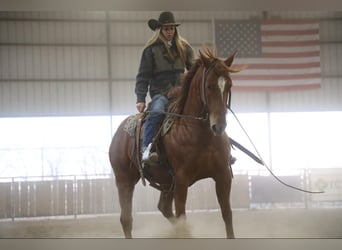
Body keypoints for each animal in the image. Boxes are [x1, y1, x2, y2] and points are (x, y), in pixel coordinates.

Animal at [109, 48, 240, 238]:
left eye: (229, 85)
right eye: (209, 86)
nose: (219, 126)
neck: (200, 135)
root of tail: (119, 133)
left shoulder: (222, 175)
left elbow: (227, 214)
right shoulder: (181, 180)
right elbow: (181, 216)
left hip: (166, 183)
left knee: (164, 208)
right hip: (124, 179)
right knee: (126, 219)